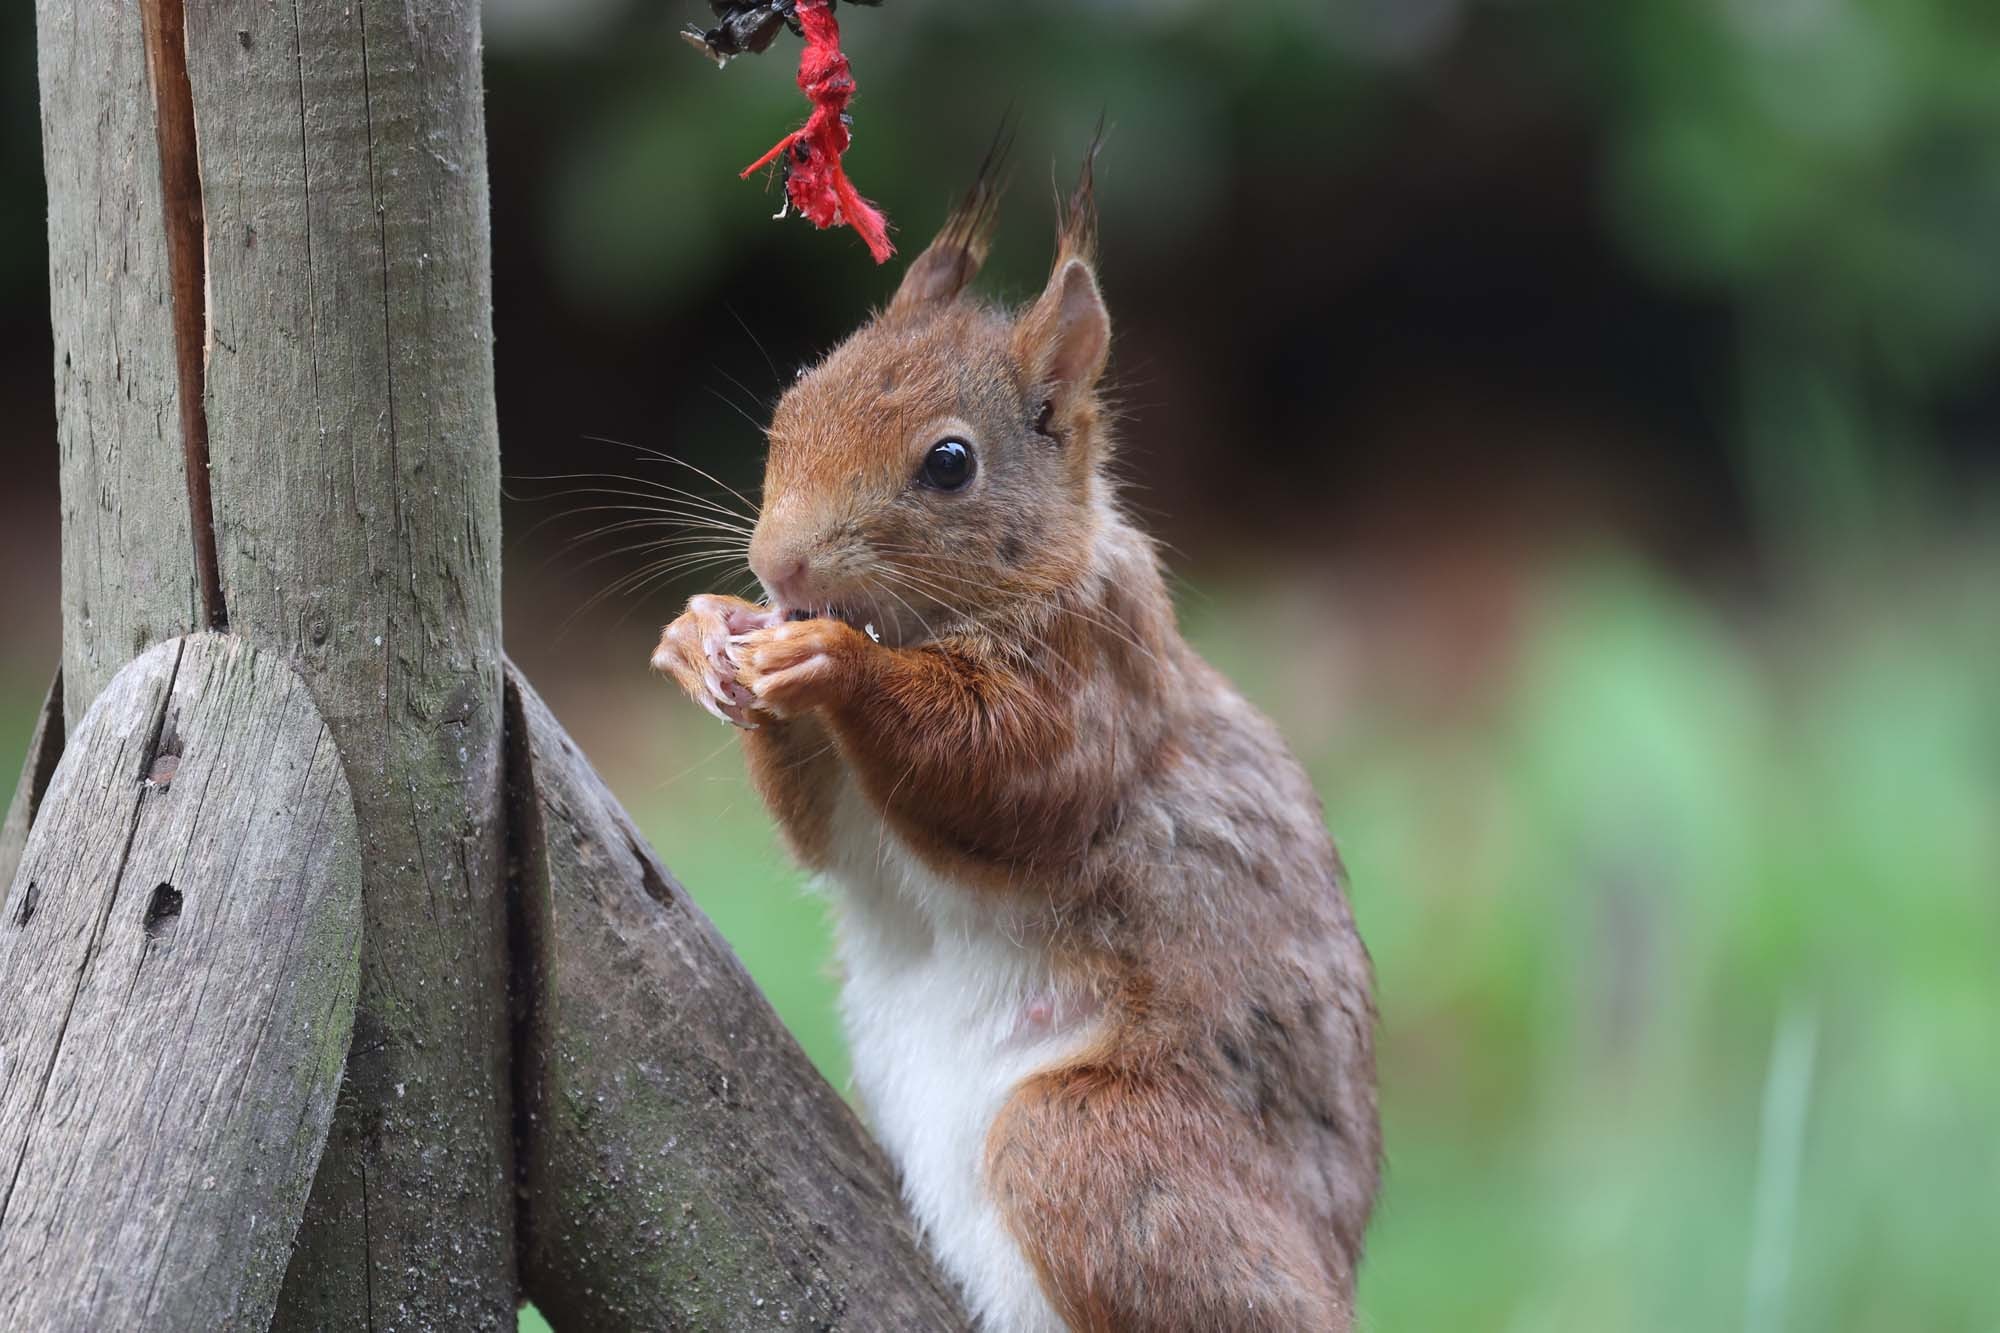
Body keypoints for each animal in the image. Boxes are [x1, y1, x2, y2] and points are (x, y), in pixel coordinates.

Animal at [652, 149, 1380, 1332]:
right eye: (791, 401)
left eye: (950, 463)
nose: (778, 566)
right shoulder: (847, 815)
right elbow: (822, 833)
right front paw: (703, 633)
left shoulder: (1101, 686)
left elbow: (1008, 778)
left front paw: (836, 664)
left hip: (1096, 1155)